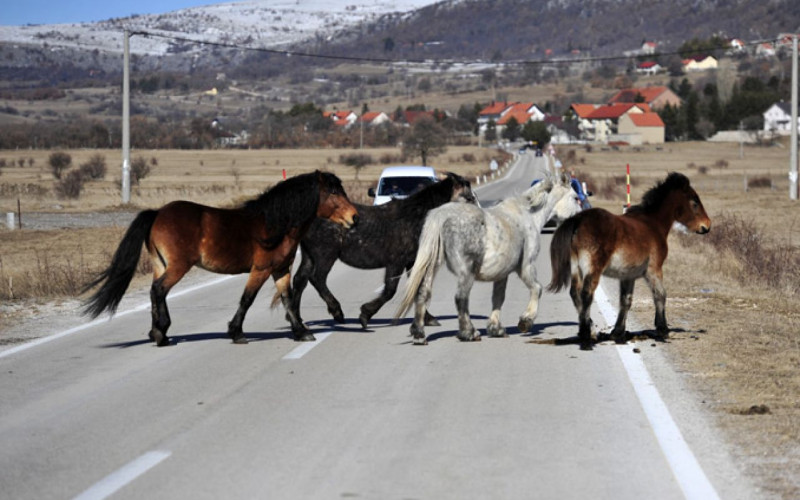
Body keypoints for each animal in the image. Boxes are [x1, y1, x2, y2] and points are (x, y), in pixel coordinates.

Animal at [82, 170, 356, 346]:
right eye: (333, 193)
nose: (354, 217)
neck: (276, 224)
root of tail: (158, 213)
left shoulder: (280, 270)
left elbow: (287, 299)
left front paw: (301, 332)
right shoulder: (261, 269)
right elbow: (247, 299)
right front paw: (236, 333)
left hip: (161, 265)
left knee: (154, 291)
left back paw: (158, 332)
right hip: (178, 266)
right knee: (159, 290)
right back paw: (161, 334)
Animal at [292, 174, 476, 330]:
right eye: (467, 194)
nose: (476, 210)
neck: (415, 217)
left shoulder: (411, 261)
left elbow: (417, 288)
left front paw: (428, 318)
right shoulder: (396, 262)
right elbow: (390, 291)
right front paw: (365, 315)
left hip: (310, 256)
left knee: (299, 280)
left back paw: (298, 323)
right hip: (326, 255)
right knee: (317, 278)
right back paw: (337, 312)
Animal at [548, 174, 708, 350]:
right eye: (694, 202)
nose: (706, 226)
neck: (652, 224)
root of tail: (578, 219)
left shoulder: (628, 276)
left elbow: (626, 301)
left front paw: (618, 333)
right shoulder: (653, 270)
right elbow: (660, 294)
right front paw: (663, 329)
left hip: (576, 268)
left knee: (575, 293)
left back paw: (590, 330)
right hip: (592, 269)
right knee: (586, 294)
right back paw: (586, 337)